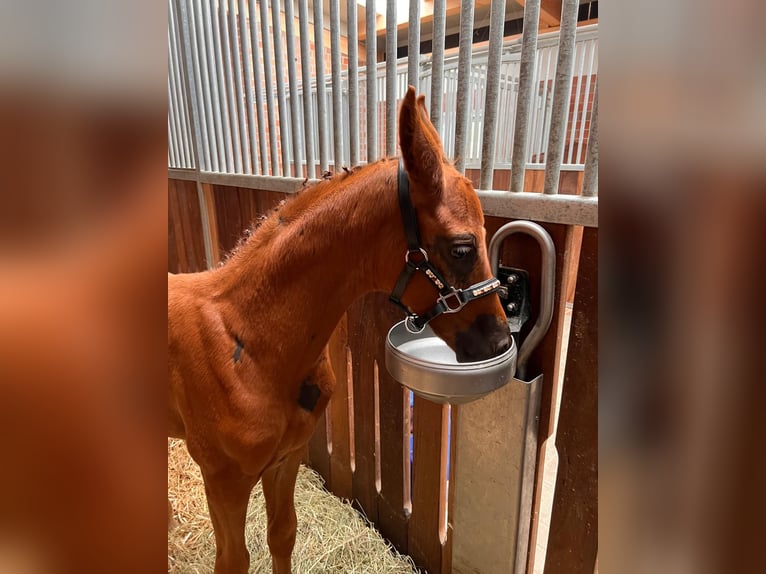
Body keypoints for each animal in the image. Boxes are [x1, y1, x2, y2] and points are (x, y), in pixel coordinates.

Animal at [171, 88, 512, 572]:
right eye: (462, 248)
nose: (500, 341)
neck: (247, 342)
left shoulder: (286, 458)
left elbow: (282, 535)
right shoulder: (223, 479)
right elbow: (233, 560)